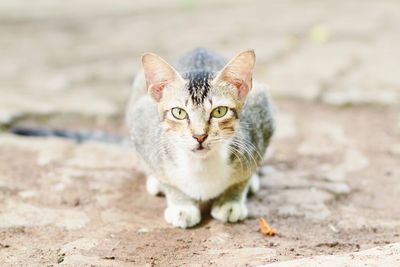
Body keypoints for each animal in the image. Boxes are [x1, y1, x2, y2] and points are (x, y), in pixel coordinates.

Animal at [126, 47, 274, 228]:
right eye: (179, 112)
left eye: (219, 111)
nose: (199, 135)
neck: (201, 165)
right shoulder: (142, 129)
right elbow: (168, 180)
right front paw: (181, 205)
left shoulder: (260, 125)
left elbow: (242, 178)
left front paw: (230, 201)